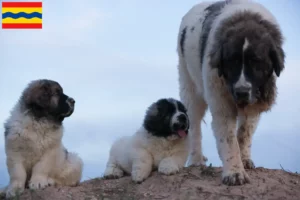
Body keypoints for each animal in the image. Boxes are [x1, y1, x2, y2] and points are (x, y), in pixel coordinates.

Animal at [177, 0, 284, 185]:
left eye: (257, 63)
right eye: (232, 62)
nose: (241, 92)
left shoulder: (254, 102)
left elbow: (244, 133)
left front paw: (244, 159)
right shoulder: (221, 103)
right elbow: (229, 139)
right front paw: (234, 172)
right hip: (189, 85)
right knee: (194, 126)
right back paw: (196, 160)